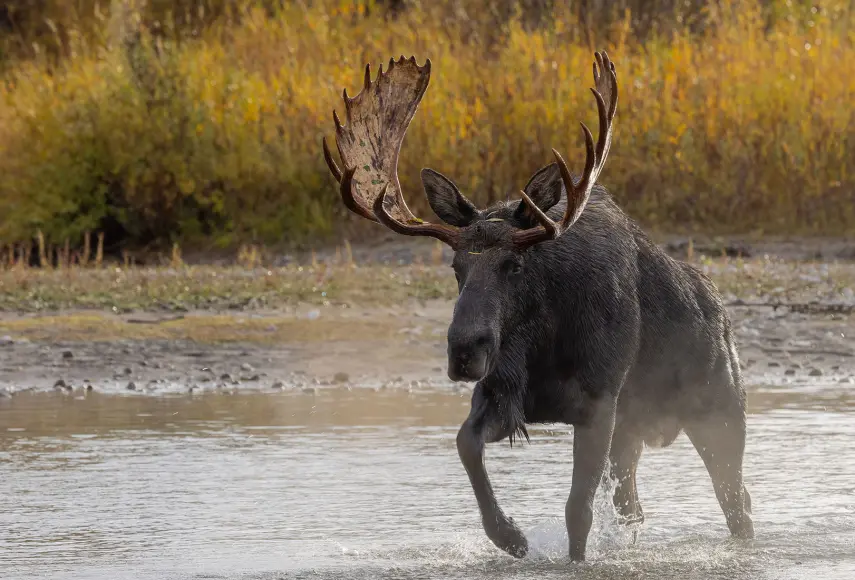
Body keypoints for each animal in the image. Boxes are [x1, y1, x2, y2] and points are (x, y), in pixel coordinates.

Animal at [320, 51, 756, 560]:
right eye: (455, 265)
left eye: (515, 264)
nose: (464, 350)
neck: (542, 345)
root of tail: (721, 316)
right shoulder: (505, 393)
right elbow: (465, 443)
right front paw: (510, 535)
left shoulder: (598, 402)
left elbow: (578, 512)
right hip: (635, 431)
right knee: (633, 506)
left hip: (719, 412)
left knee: (737, 503)